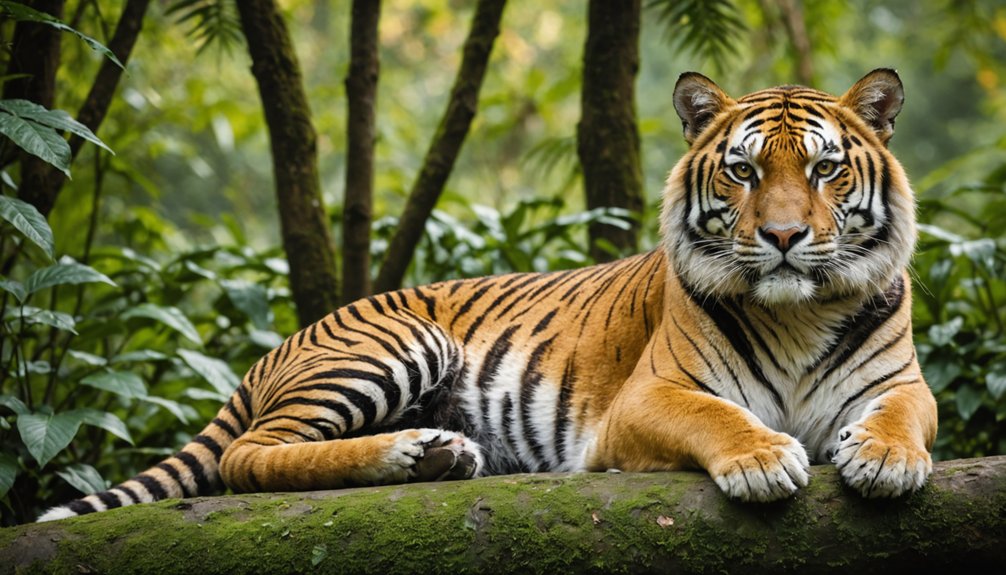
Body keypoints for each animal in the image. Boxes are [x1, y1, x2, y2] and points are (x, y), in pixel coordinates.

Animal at [37, 69, 933, 522]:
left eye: (823, 167)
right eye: (743, 170)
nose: (782, 236)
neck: (799, 308)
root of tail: (284, 344)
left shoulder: (902, 382)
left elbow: (900, 416)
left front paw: (886, 458)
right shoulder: (647, 397)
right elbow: (717, 416)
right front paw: (762, 458)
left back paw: (438, 453)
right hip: (396, 344)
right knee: (245, 456)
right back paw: (410, 451)